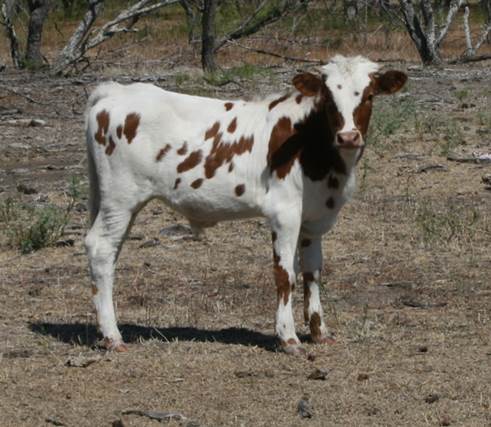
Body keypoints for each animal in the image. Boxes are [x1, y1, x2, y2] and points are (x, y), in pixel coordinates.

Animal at [85, 56, 408, 354]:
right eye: (328, 98)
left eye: (368, 96)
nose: (348, 136)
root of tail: (116, 90)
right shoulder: (284, 213)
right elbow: (285, 275)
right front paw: (288, 338)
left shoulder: (314, 219)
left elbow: (312, 273)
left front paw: (319, 332)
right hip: (120, 198)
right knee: (100, 248)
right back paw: (112, 336)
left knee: (110, 254)